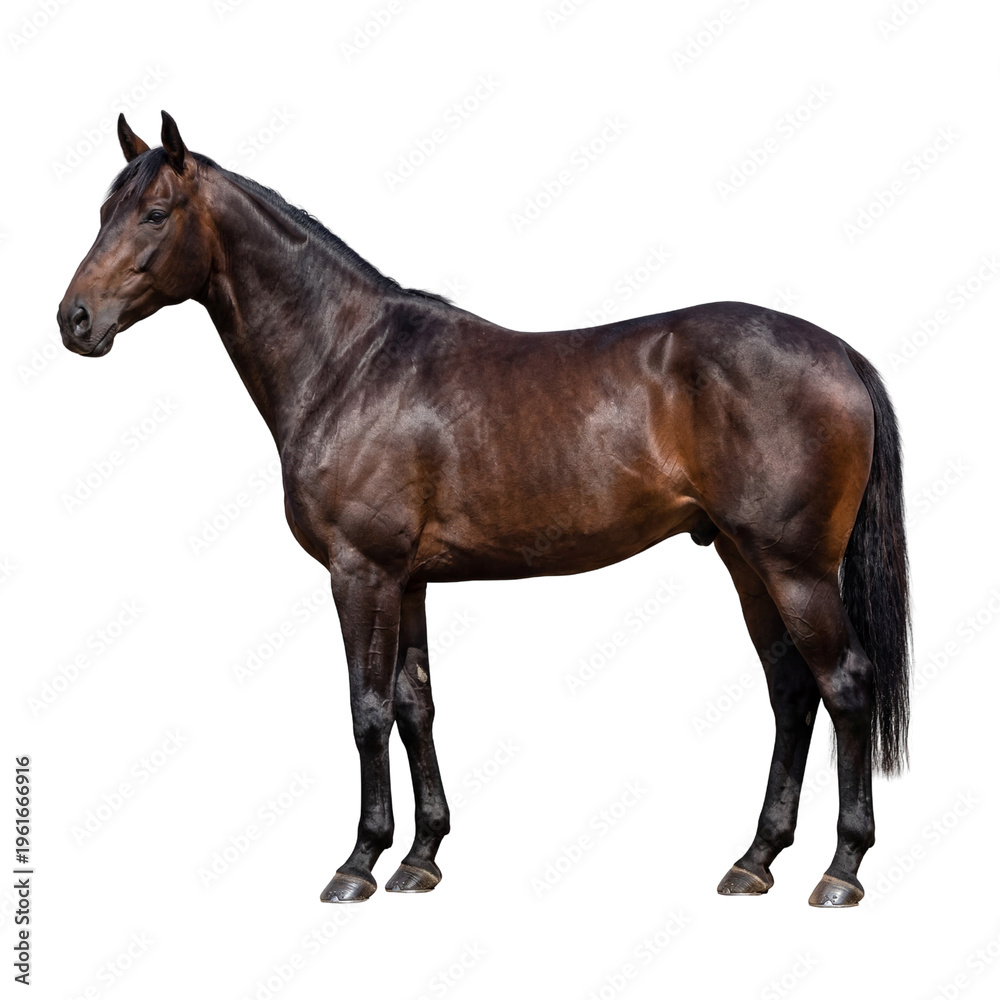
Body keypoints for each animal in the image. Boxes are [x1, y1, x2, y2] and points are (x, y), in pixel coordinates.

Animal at [58, 112, 910, 907]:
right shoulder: (406, 581)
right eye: (102, 210)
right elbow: (416, 707)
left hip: (794, 567)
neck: (348, 363)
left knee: (845, 684)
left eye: (155, 213)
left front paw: (358, 863)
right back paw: (754, 860)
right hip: (744, 559)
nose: (74, 320)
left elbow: (367, 710)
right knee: (792, 691)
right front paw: (420, 857)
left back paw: (840, 870)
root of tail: (839, 352)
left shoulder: (360, 573)